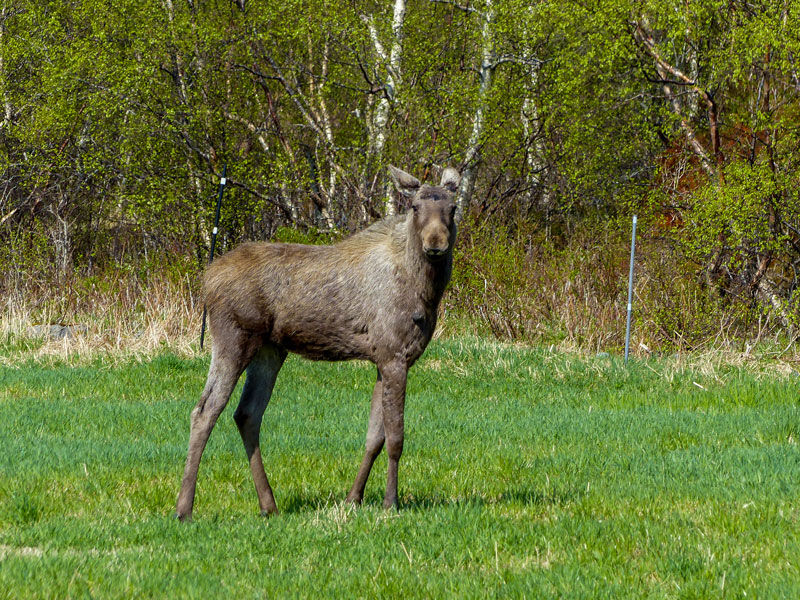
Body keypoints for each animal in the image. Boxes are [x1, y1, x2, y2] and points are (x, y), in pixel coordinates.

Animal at [177, 165, 460, 520]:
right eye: (415, 207)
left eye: (453, 208)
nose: (435, 244)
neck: (425, 291)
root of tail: (207, 278)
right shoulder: (394, 355)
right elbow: (396, 437)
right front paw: (390, 502)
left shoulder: (382, 360)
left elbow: (373, 437)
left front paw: (354, 498)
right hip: (233, 336)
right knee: (205, 410)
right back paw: (184, 508)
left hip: (270, 349)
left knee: (247, 413)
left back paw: (268, 504)